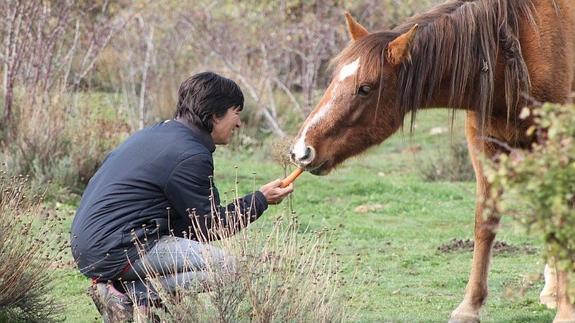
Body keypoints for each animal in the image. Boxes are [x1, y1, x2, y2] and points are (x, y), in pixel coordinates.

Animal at [290, 1, 575, 322]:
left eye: (365, 88)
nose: (301, 151)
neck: (514, 47)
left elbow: (559, 217)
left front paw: (566, 309)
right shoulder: (484, 144)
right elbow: (485, 223)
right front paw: (470, 306)